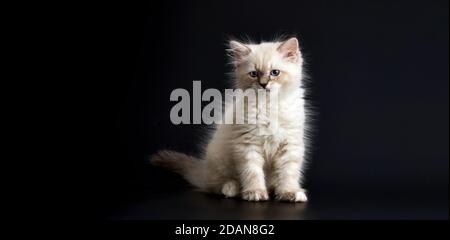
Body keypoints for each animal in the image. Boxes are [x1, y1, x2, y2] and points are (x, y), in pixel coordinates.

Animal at [151, 37, 310, 202]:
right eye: (253, 74)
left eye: (275, 73)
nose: (263, 84)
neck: (269, 106)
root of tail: (204, 169)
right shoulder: (248, 144)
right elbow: (252, 172)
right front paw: (255, 192)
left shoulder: (290, 144)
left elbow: (288, 173)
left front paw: (289, 192)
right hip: (219, 162)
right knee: (216, 184)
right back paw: (232, 189)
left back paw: (275, 189)